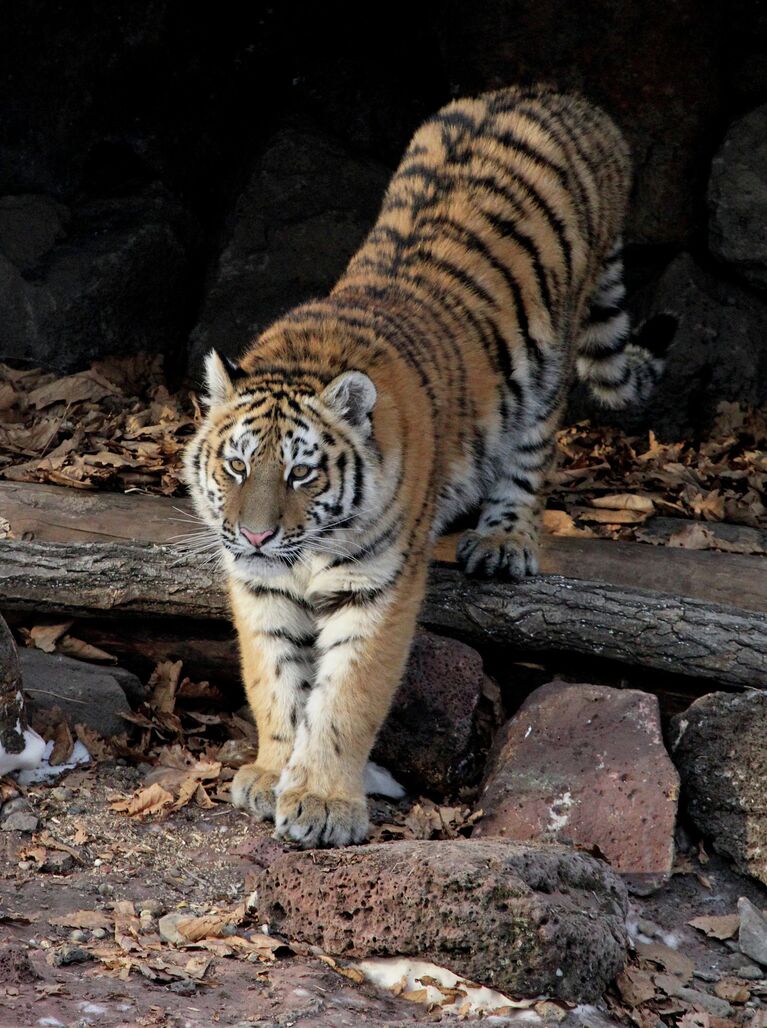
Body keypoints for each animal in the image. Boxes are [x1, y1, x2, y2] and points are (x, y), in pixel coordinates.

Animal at [181, 84, 670, 847]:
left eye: (300, 474)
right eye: (235, 467)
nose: (256, 535)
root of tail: (557, 96)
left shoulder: (376, 589)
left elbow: (346, 697)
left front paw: (322, 802)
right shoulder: (258, 585)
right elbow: (275, 681)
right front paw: (271, 774)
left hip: (544, 374)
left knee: (528, 461)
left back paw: (501, 542)